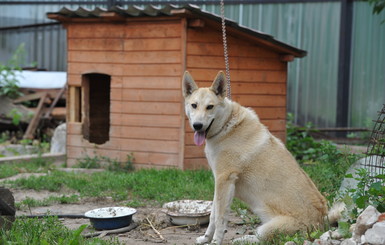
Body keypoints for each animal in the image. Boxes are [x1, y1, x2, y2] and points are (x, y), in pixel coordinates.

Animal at [182, 70, 340, 243]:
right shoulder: (220, 183)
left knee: (261, 238)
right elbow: (213, 216)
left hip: (268, 228)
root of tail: (323, 221)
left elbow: (220, 219)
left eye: (210, 107)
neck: (226, 126)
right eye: (194, 105)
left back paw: (242, 240)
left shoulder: (224, 180)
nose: (197, 126)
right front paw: (206, 238)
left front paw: (216, 241)